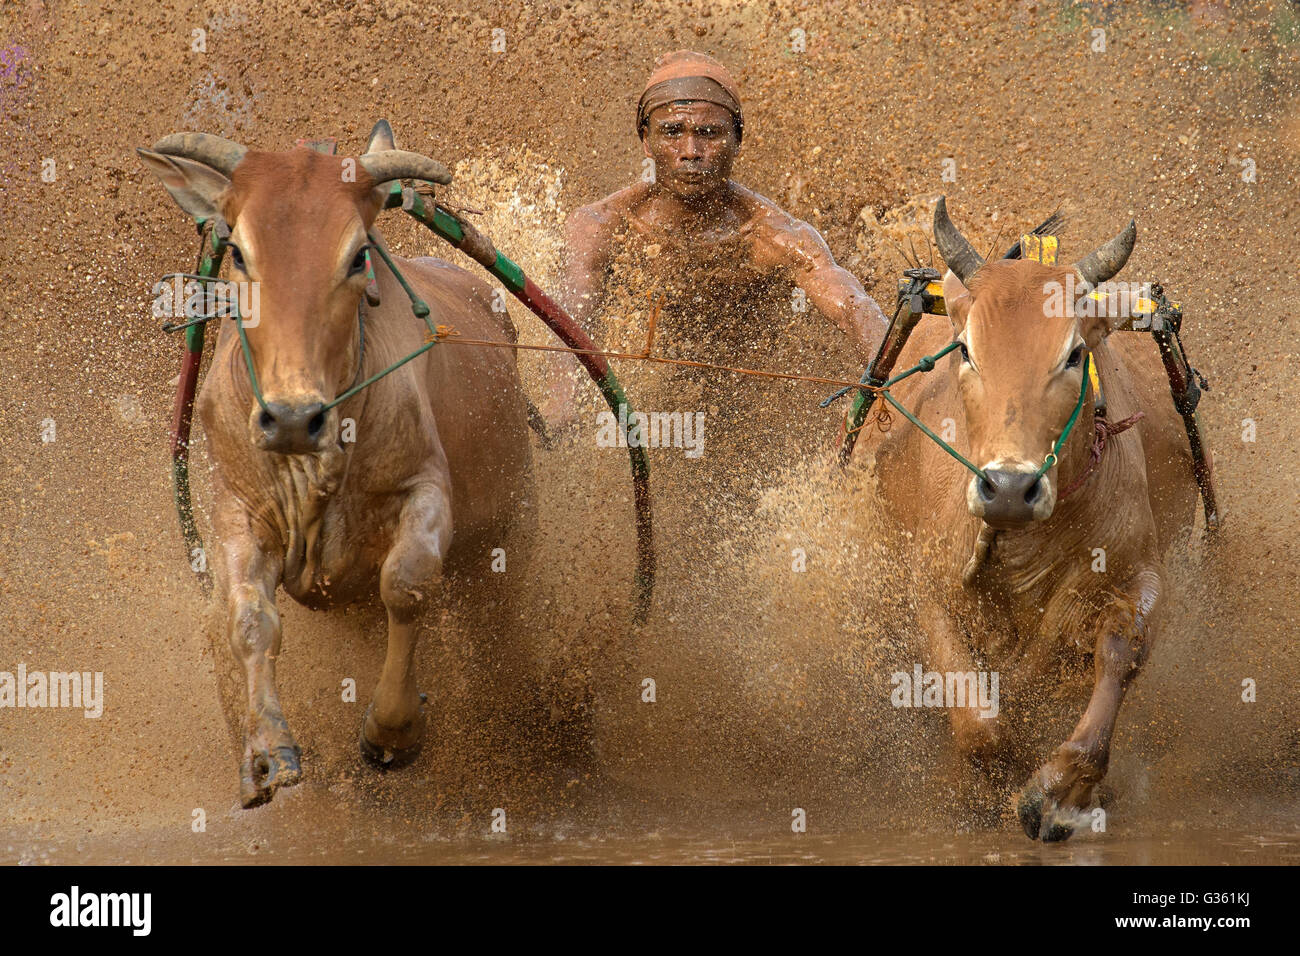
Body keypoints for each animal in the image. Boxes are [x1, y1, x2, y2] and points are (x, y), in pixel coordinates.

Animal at [137, 121, 533, 806]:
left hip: (511, 540)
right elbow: (249, 617)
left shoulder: (425, 489)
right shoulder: (237, 511)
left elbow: (407, 583)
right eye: (237, 253)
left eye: (356, 257)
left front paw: (393, 731)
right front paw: (267, 754)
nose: (294, 418)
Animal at [863, 200, 1196, 837]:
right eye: (967, 350)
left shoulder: (1140, 570)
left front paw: (1059, 792)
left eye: (1073, 354)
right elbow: (979, 724)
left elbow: (1121, 646)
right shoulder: (928, 588)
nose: (1009, 490)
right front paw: (978, 785)